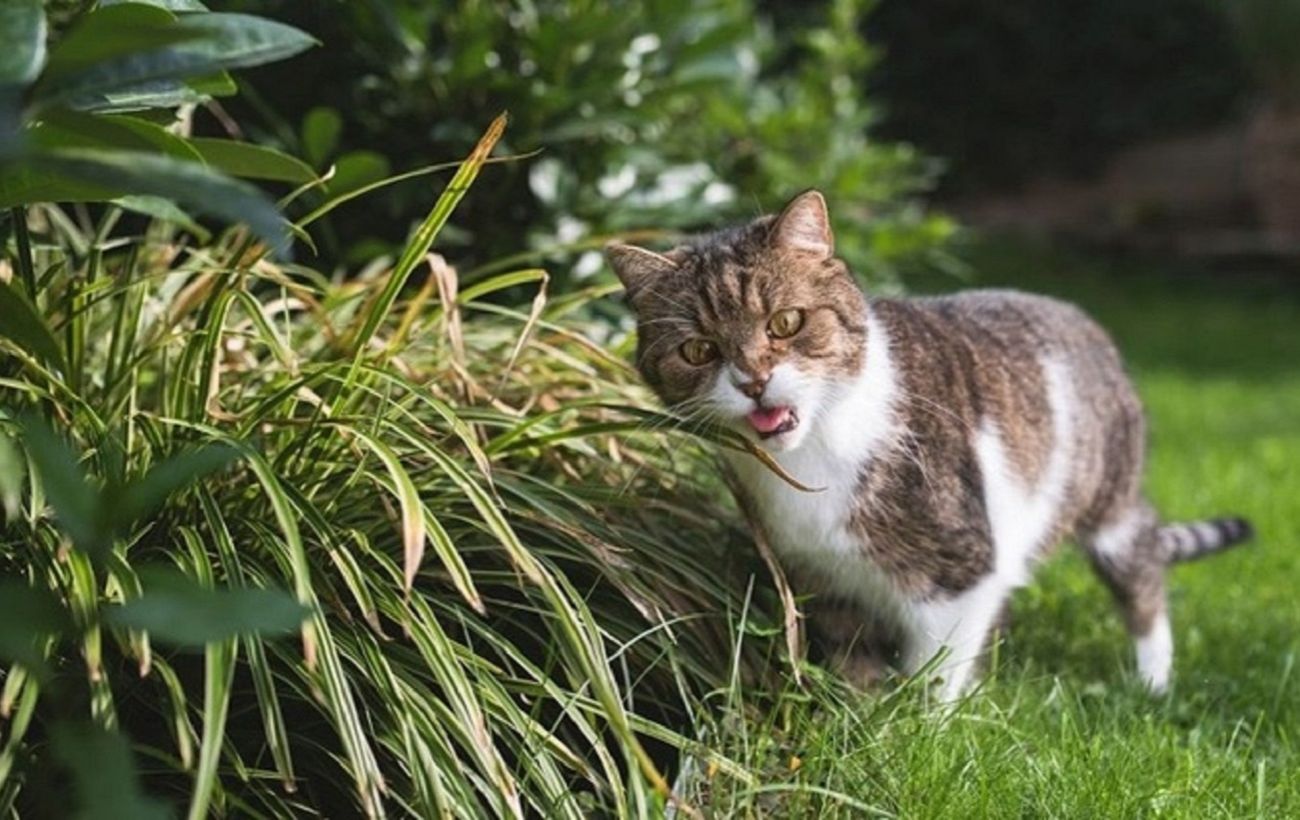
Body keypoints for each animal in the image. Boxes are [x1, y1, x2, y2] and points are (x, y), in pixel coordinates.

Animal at [603, 192, 1253, 701]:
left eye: (786, 323)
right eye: (699, 351)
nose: (753, 381)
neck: (811, 463)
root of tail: (1079, 316)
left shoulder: (961, 570)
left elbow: (934, 671)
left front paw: (918, 729)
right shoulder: (823, 580)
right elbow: (854, 663)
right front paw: (862, 717)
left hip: (1109, 502)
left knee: (1141, 567)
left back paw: (1152, 681)